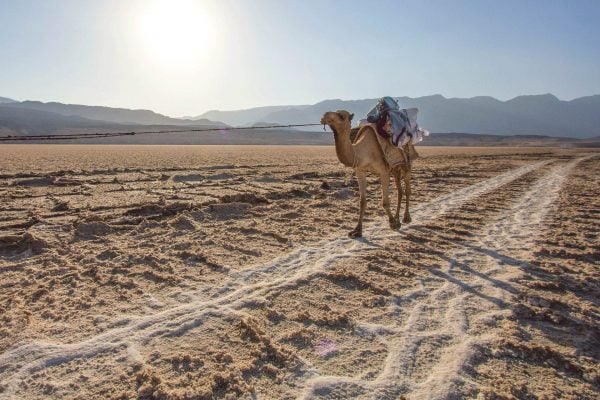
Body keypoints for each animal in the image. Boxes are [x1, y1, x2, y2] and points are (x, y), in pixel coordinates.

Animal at [318, 109, 412, 238]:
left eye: (341, 116)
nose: (324, 116)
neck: (361, 152)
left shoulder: (383, 172)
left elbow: (385, 202)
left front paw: (393, 223)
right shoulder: (360, 171)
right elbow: (362, 202)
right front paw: (357, 230)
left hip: (405, 163)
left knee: (407, 189)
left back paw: (406, 218)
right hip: (394, 169)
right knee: (400, 190)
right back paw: (398, 218)